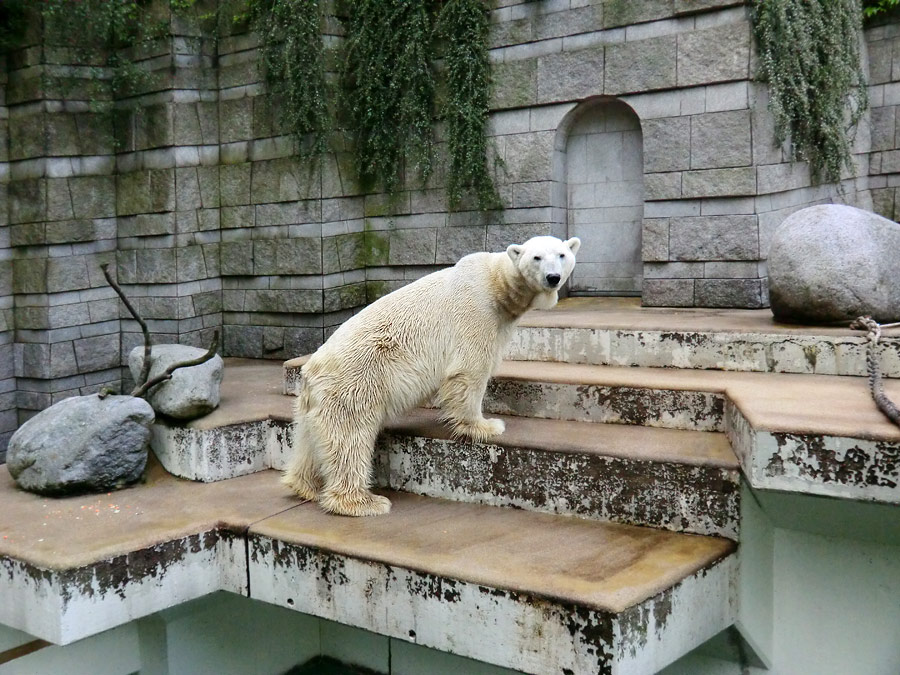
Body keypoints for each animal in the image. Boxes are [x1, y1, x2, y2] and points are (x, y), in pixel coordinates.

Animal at [288, 235, 584, 516]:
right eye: (536, 257)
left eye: (562, 254)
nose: (553, 277)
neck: (497, 283)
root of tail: (310, 372)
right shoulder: (477, 312)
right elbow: (470, 368)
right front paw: (486, 426)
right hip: (355, 383)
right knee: (349, 439)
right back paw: (364, 502)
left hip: (314, 401)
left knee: (309, 441)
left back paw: (305, 486)